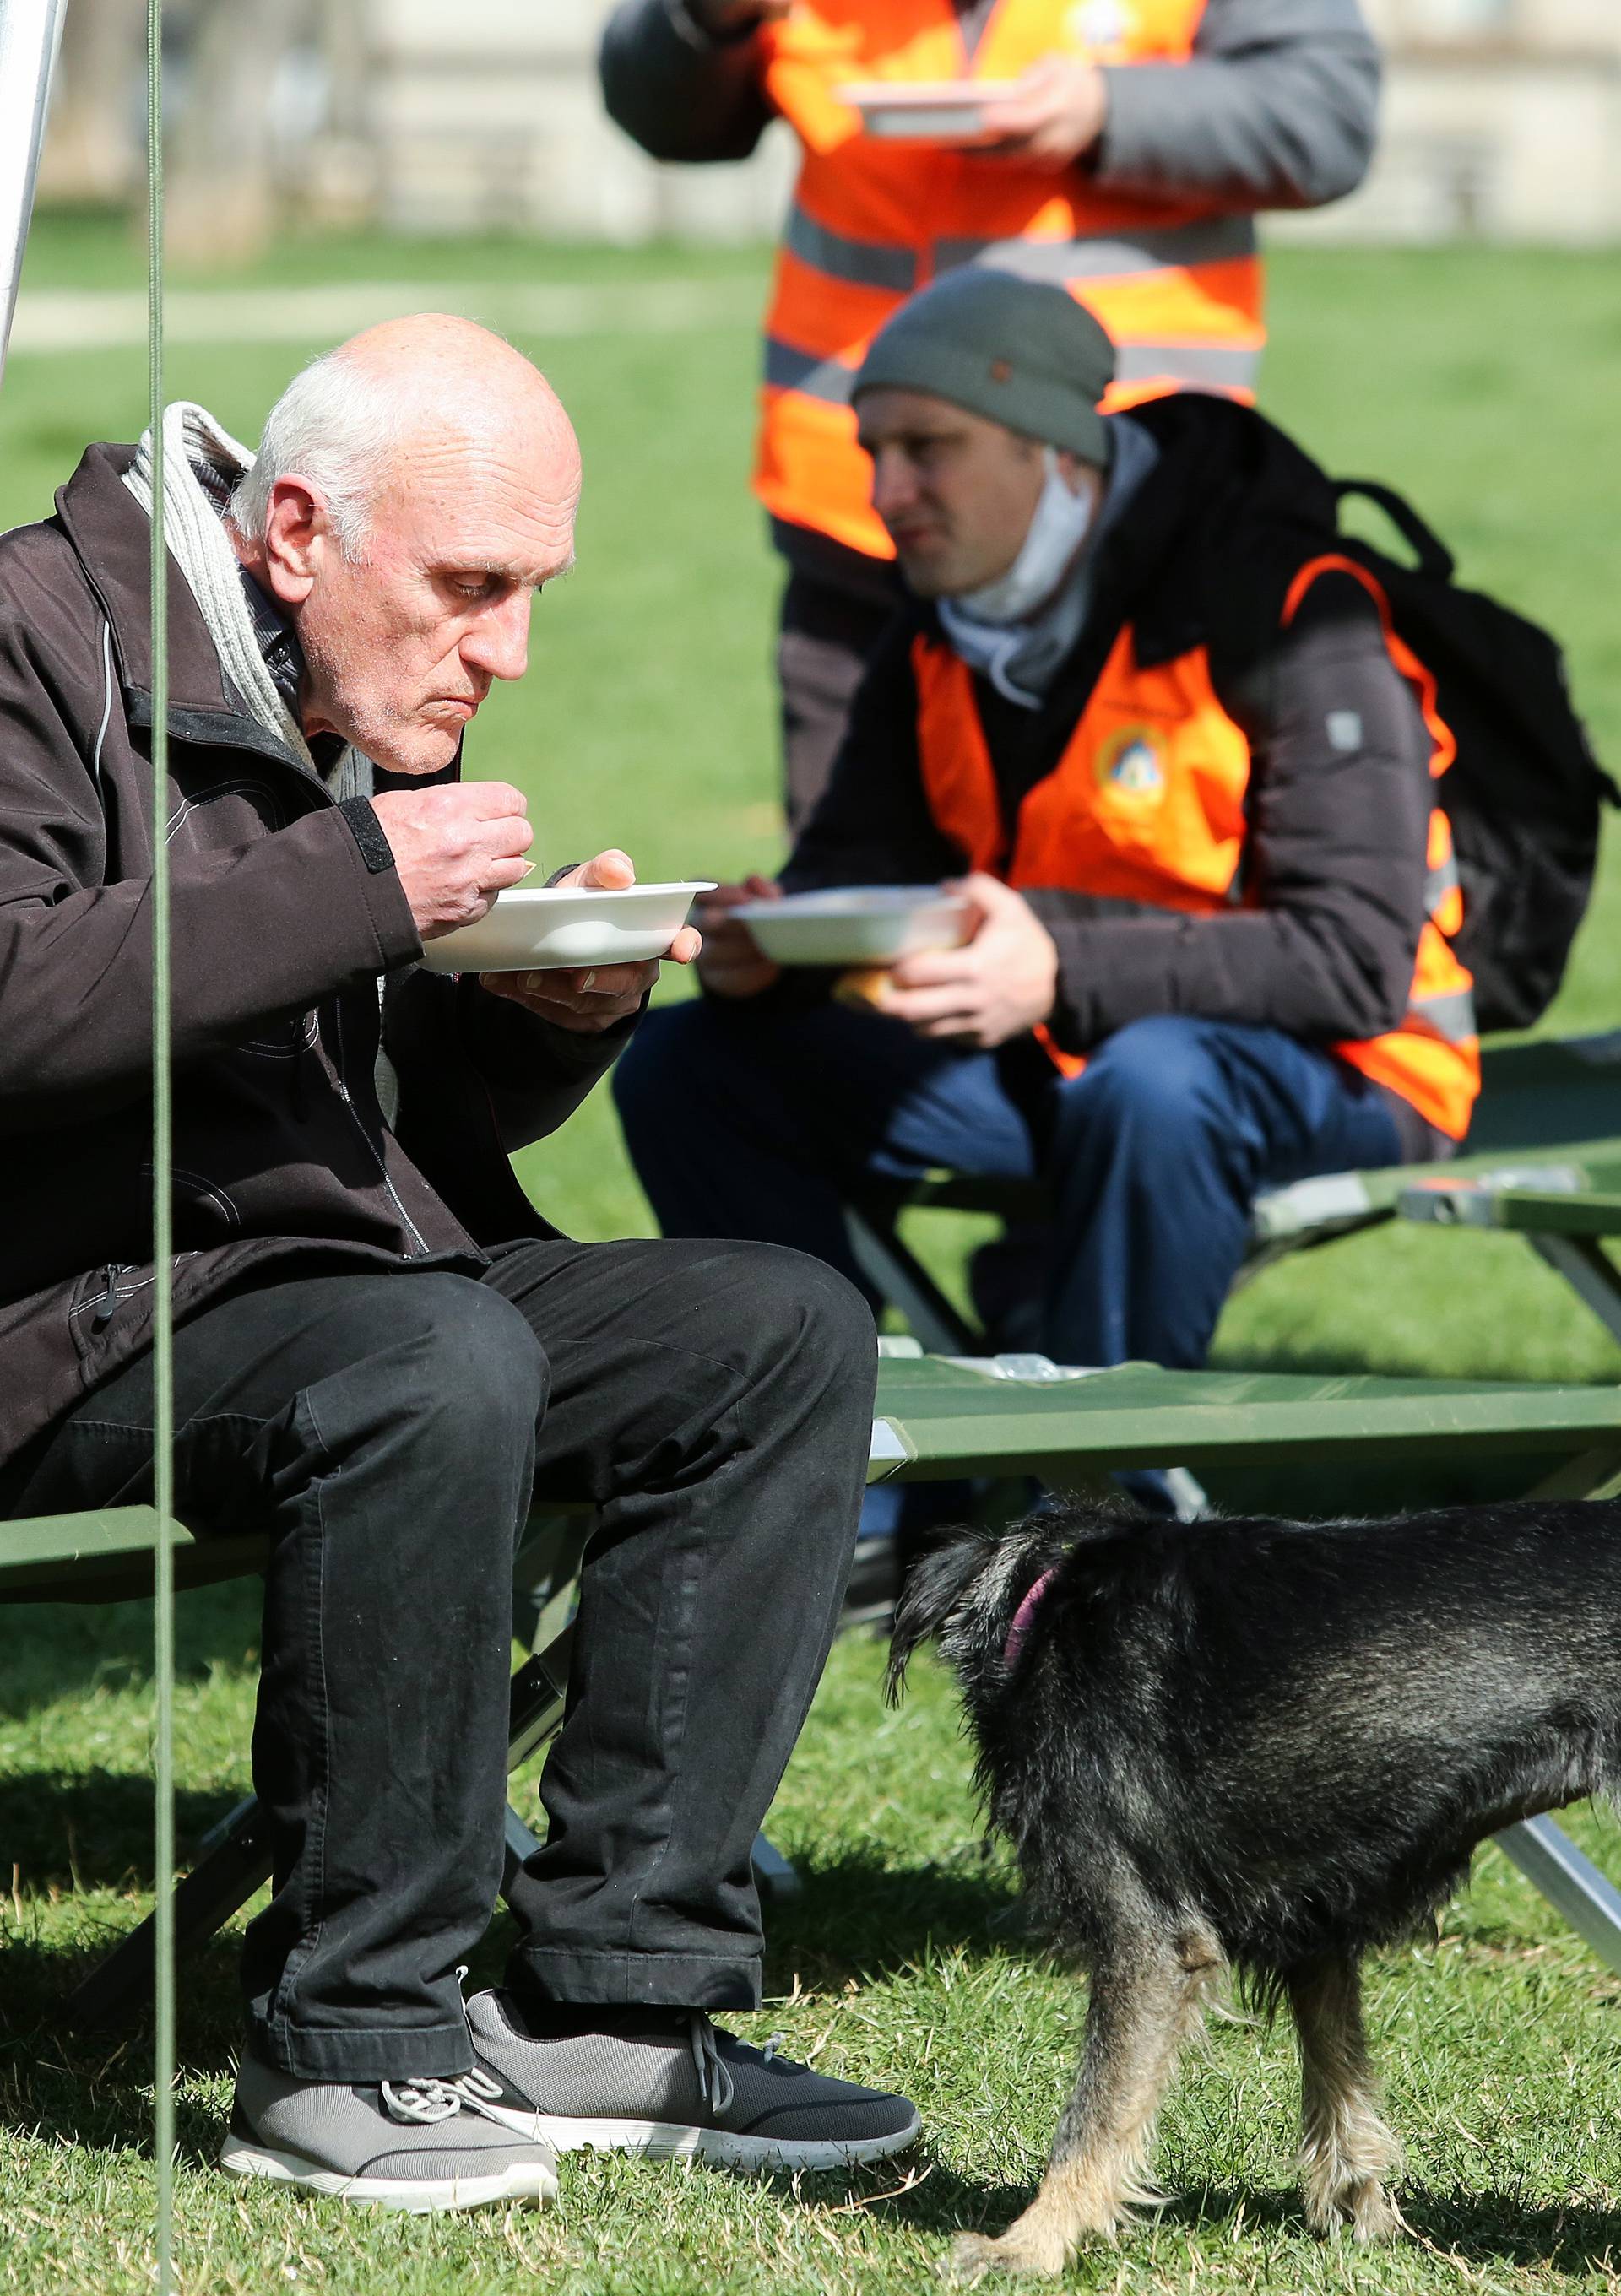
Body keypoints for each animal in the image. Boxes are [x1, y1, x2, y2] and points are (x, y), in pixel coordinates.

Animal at [881, 1487, 1616, 2277]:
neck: (1047, 1603)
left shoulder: (1148, 1939)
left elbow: (1095, 2110)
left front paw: (1032, 2243)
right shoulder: (1319, 1933)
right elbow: (1338, 2081)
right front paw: (1361, 2216)